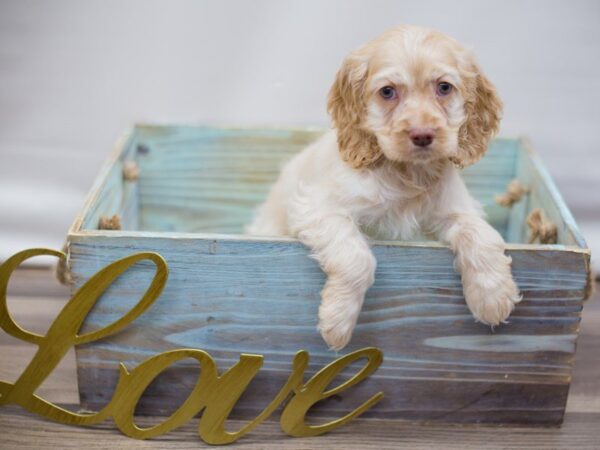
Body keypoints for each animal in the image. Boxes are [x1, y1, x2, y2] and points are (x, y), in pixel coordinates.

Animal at [247, 25, 520, 352]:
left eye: (444, 87)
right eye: (388, 92)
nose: (422, 135)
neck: (407, 173)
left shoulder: (455, 209)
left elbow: (480, 233)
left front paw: (493, 296)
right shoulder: (316, 207)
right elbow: (357, 258)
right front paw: (337, 321)